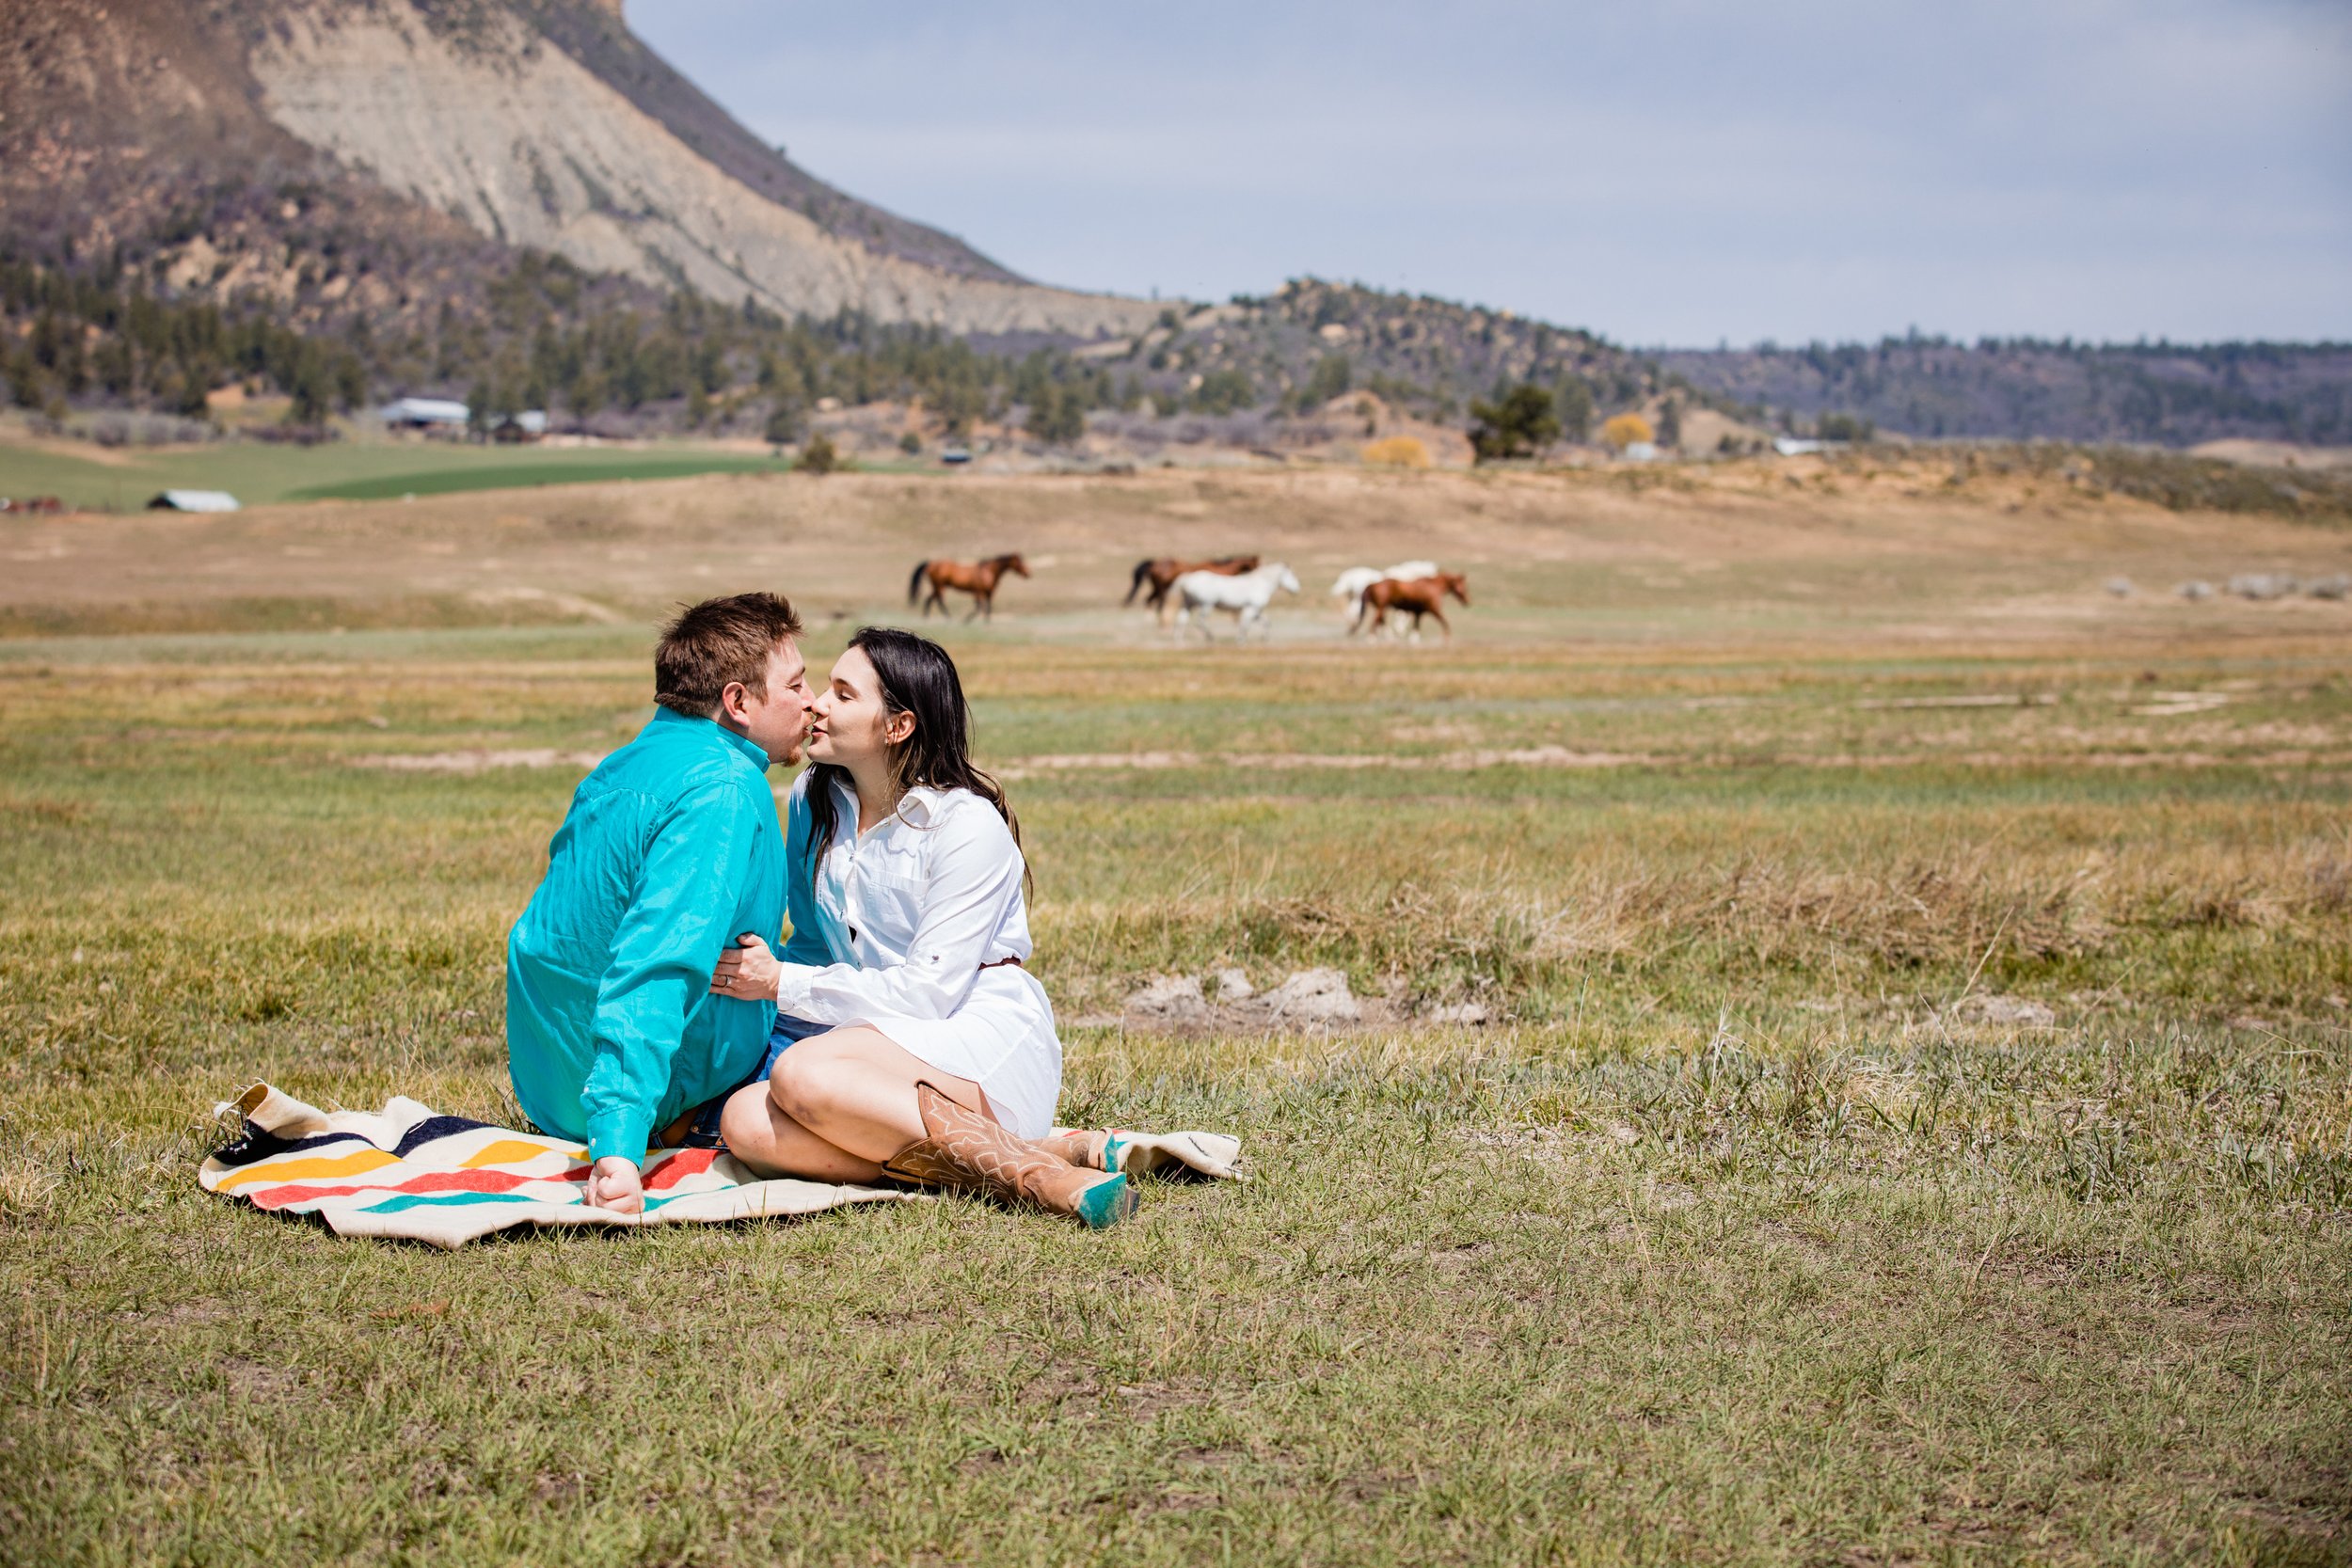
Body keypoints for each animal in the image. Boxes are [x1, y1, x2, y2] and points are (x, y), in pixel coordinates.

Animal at [908, 554, 1030, 620]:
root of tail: (931, 563)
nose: (1028, 573)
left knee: (930, 599)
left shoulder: (988, 592)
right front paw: (967, 620)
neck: (989, 571)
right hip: (940, 586)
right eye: (1019, 562)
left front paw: (986, 621)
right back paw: (948, 617)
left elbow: (987, 607)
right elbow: (980, 607)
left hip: (937, 586)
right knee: (938, 600)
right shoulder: (979, 591)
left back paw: (928, 617)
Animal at [1124, 554, 1261, 620]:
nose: (1258, 575)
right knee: (1158, 602)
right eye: (1257, 565)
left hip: (1157, 588)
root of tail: (1154, 563)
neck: (1223, 568)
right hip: (1161, 588)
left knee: (1150, 600)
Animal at [1176, 562, 1308, 639]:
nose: (1297, 589)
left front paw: (1264, 638)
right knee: (1200, 621)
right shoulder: (1251, 608)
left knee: (1181, 620)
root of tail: (1187, 579)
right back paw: (1210, 636)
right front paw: (1241, 641)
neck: (1262, 583)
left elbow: (1266, 623)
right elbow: (1245, 625)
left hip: (1188, 603)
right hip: (1207, 604)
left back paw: (1178, 638)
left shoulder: (1256, 610)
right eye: (1293, 576)